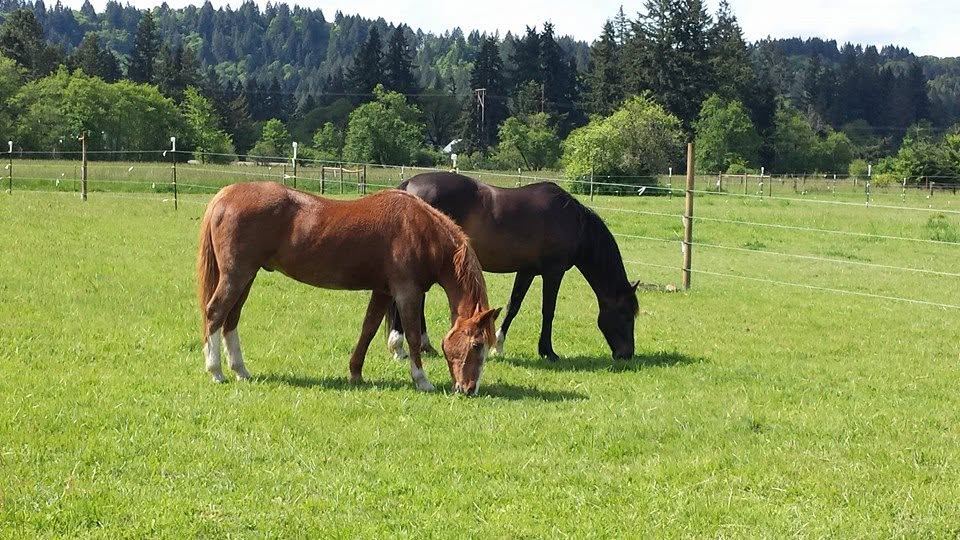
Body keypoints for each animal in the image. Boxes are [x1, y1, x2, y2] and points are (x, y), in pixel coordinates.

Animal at [196, 182, 501, 395]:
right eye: (477, 345)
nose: (469, 389)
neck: (422, 232)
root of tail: (226, 195)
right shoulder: (407, 293)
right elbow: (413, 336)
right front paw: (422, 380)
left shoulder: (383, 291)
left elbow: (368, 329)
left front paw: (355, 372)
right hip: (236, 275)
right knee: (215, 314)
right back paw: (215, 371)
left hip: (247, 277)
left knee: (231, 319)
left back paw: (240, 371)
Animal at [386, 172, 639, 361]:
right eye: (626, 314)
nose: (626, 354)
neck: (574, 222)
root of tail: (408, 187)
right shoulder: (553, 272)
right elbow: (548, 311)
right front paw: (548, 351)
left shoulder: (527, 271)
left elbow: (513, 306)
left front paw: (497, 346)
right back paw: (399, 347)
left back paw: (424, 346)